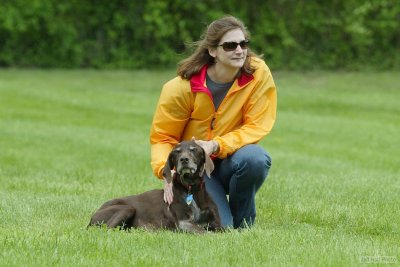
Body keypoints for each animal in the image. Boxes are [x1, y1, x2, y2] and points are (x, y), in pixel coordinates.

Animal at [87, 141, 222, 233]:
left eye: (193, 149)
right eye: (177, 151)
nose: (184, 159)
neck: (191, 188)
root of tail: (92, 217)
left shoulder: (216, 224)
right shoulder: (184, 223)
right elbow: (207, 233)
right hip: (127, 208)